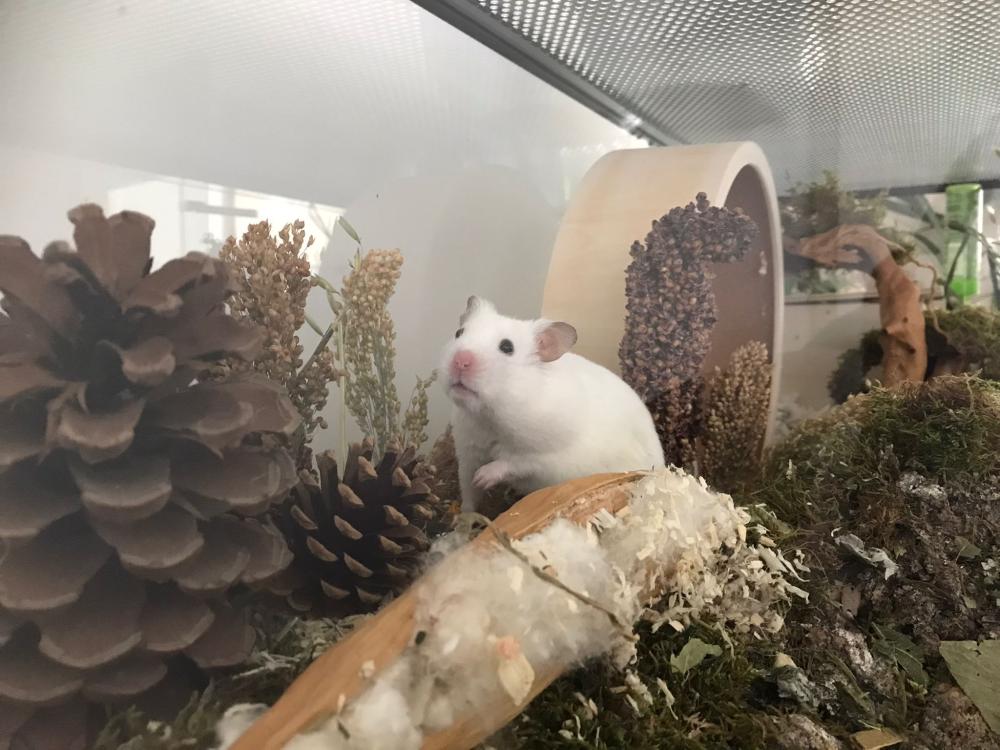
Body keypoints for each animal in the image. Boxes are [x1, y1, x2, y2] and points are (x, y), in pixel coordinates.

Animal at [440, 296, 665, 512]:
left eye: (507, 347)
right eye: (459, 333)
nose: (460, 361)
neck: (489, 416)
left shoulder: (544, 458)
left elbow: (511, 463)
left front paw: (483, 477)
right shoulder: (467, 453)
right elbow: (468, 490)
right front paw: (463, 516)